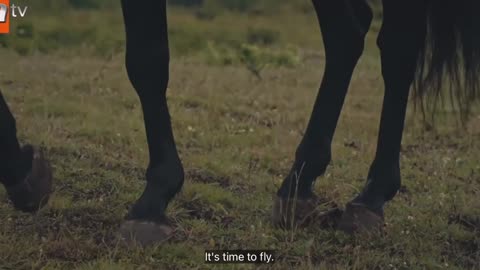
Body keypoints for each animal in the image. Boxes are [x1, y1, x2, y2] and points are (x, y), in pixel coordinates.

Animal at [0, 0, 478, 245]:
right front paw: (23, 171)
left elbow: (147, 59)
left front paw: (154, 201)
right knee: (348, 30)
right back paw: (299, 184)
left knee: (398, 42)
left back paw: (372, 196)